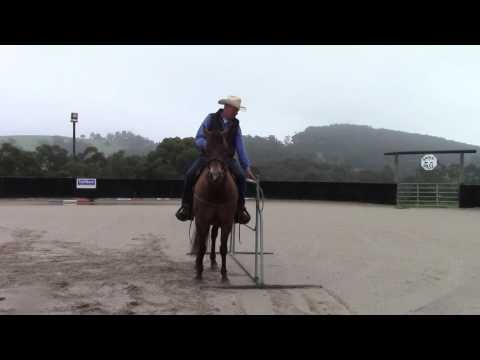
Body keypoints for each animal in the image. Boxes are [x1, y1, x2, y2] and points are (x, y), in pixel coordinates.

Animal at [190, 126, 237, 282]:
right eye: (206, 150)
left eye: (225, 151)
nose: (215, 176)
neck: (216, 192)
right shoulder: (202, 220)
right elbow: (202, 246)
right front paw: (199, 272)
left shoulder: (226, 222)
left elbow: (223, 248)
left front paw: (224, 275)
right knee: (203, 239)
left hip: (216, 222)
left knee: (214, 236)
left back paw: (213, 262)